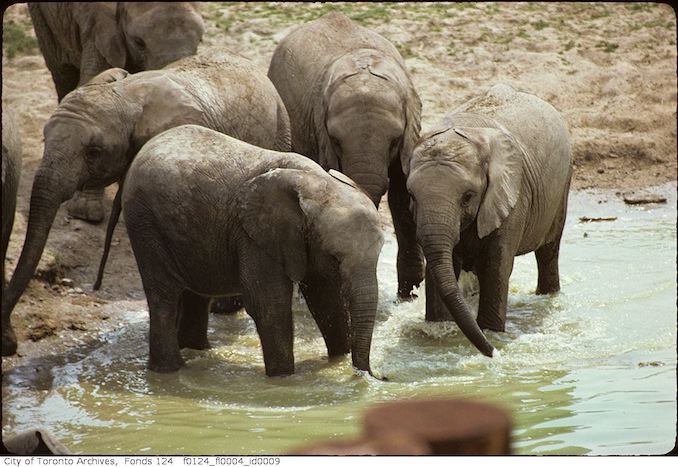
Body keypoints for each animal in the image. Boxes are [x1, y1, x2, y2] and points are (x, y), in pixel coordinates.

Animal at [0, 53, 292, 356]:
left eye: (94, 152)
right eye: (44, 138)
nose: (9, 345)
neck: (123, 97)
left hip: (280, 129)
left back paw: (225, 309)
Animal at [122, 125, 386, 376]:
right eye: (334, 258)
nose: (377, 376)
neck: (317, 182)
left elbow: (326, 300)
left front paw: (336, 364)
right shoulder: (253, 236)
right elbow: (269, 304)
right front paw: (284, 380)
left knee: (195, 295)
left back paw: (197, 353)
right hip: (144, 223)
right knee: (164, 297)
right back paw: (170, 370)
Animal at [406, 84, 576, 356]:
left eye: (468, 196)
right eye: (411, 196)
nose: (494, 354)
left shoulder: (513, 197)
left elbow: (496, 266)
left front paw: (491, 334)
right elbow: (439, 267)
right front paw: (439, 332)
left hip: (561, 187)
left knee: (548, 251)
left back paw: (547, 296)